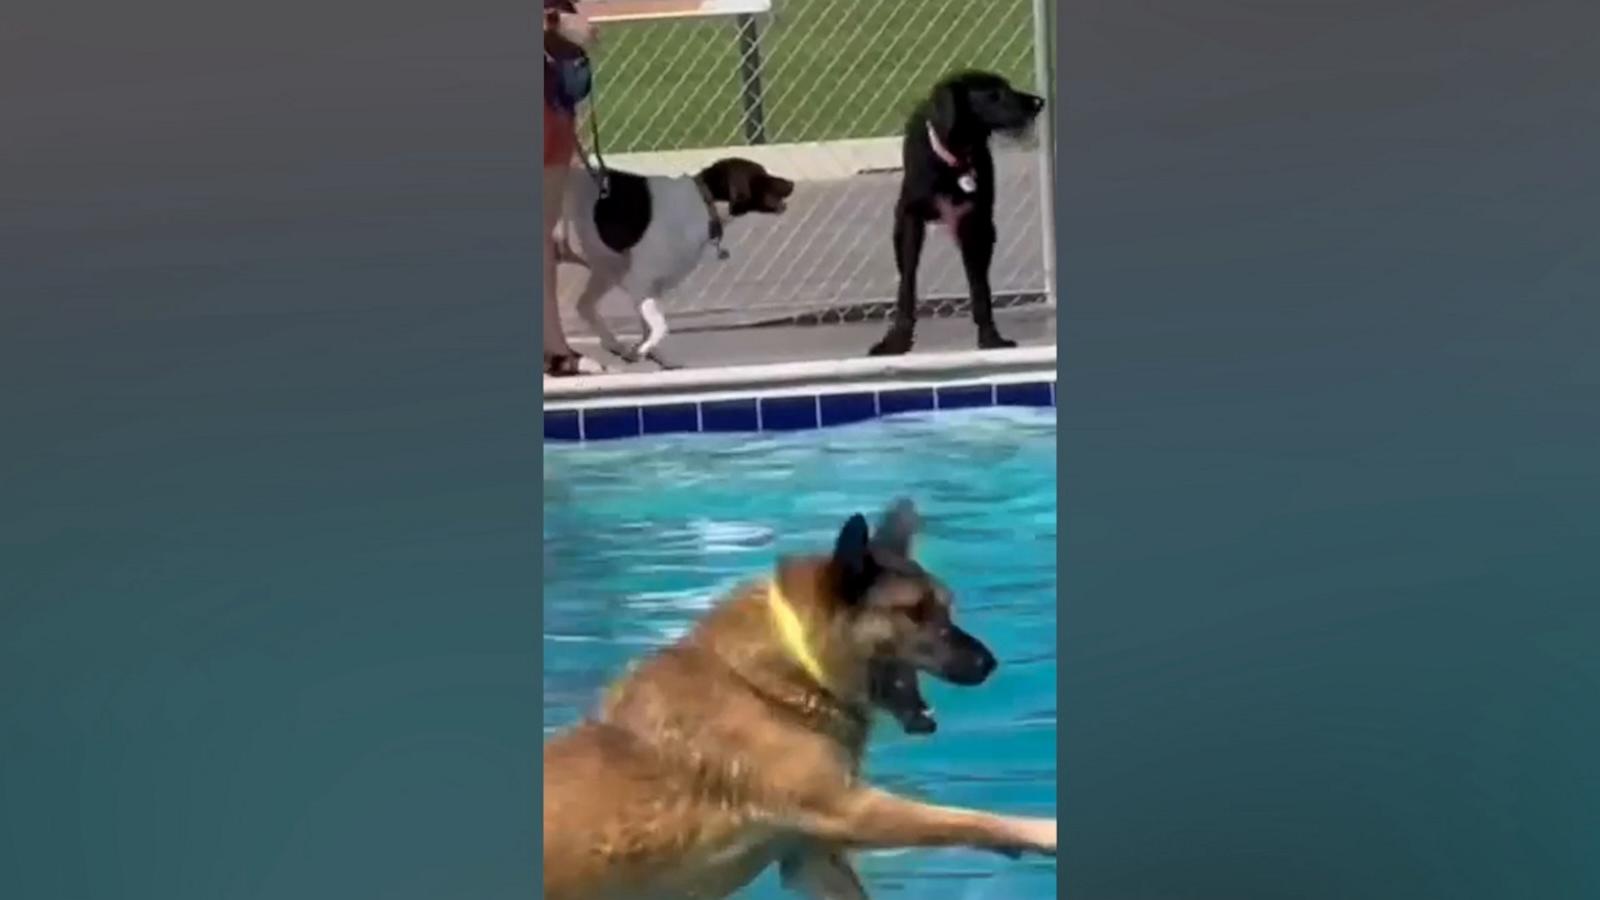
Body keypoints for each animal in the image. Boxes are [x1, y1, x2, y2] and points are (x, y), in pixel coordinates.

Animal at [544, 496, 1056, 896]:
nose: (989, 663)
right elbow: (966, 818)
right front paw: (1040, 833)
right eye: (915, 612)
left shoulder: (810, 854)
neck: (791, 668)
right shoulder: (853, 810)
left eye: (947, 606)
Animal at [870, 68, 1043, 355]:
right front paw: (897, 341)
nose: (1039, 103)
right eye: (994, 94)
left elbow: (980, 288)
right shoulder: (908, 219)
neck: (955, 158)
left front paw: (991, 338)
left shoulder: (976, 224)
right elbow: (907, 285)